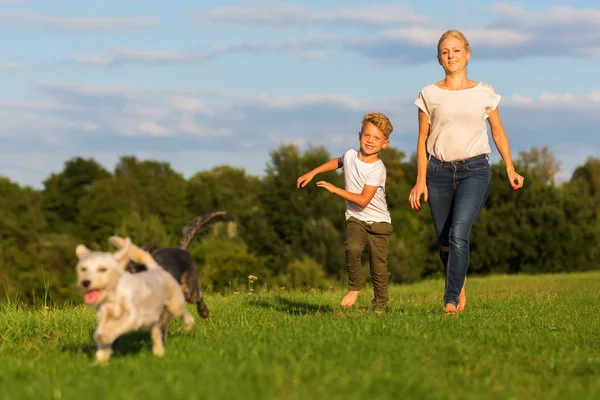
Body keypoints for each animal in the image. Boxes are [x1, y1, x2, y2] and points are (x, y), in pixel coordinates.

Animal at [74, 236, 193, 364]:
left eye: (103, 269)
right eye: (83, 269)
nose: (85, 282)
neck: (113, 296)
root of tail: (156, 269)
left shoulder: (132, 317)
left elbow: (117, 326)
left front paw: (105, 337)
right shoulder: (104, 316)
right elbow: (103, 330)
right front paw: (100, 359)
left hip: (175, 303)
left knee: (182, 312)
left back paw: (188, 323)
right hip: (156, 320)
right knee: (157, 333)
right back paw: (159, 352)